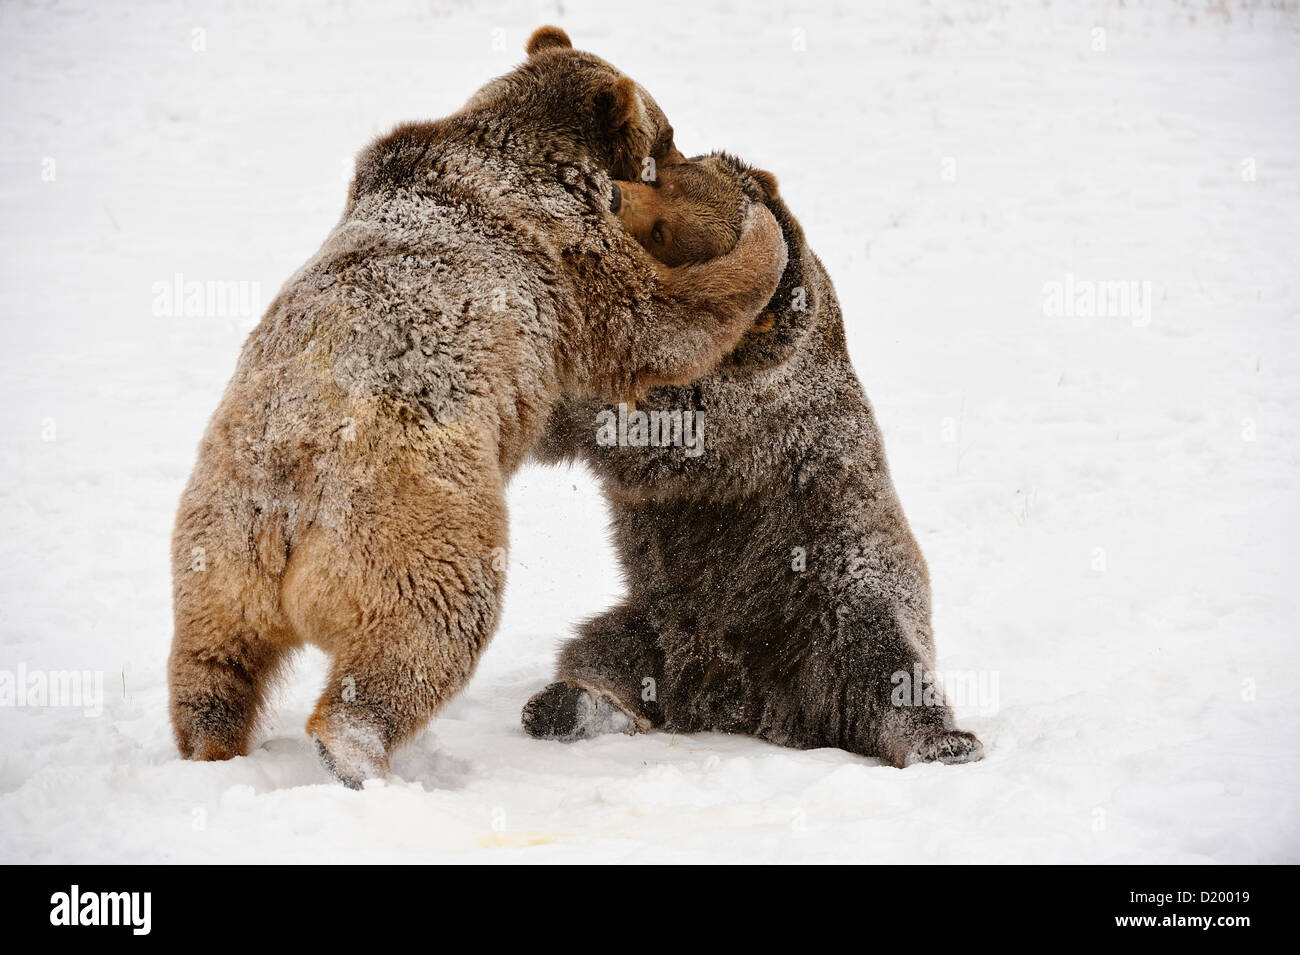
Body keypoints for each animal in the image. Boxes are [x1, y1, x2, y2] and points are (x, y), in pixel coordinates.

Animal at [167, 31, 785, 789]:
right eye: (663, 138)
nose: (678, 157)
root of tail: (282, 510)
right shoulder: (564, 244)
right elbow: (656, 321)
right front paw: (760, 242)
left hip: (214, 550)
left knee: (212, 663)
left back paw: (211, 744)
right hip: (408, 522)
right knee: (431, 626)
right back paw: (357, 752)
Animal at [522, 153, 977, 774]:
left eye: (665, 234)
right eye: (661, 177)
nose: (612, 194)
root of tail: (741, 694)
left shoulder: (749, 416)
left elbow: (656, 431)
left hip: (832, 594)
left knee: (886, 665)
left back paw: (943, 741)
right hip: (667, 615)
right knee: (605, 650)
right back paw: (569, 706)